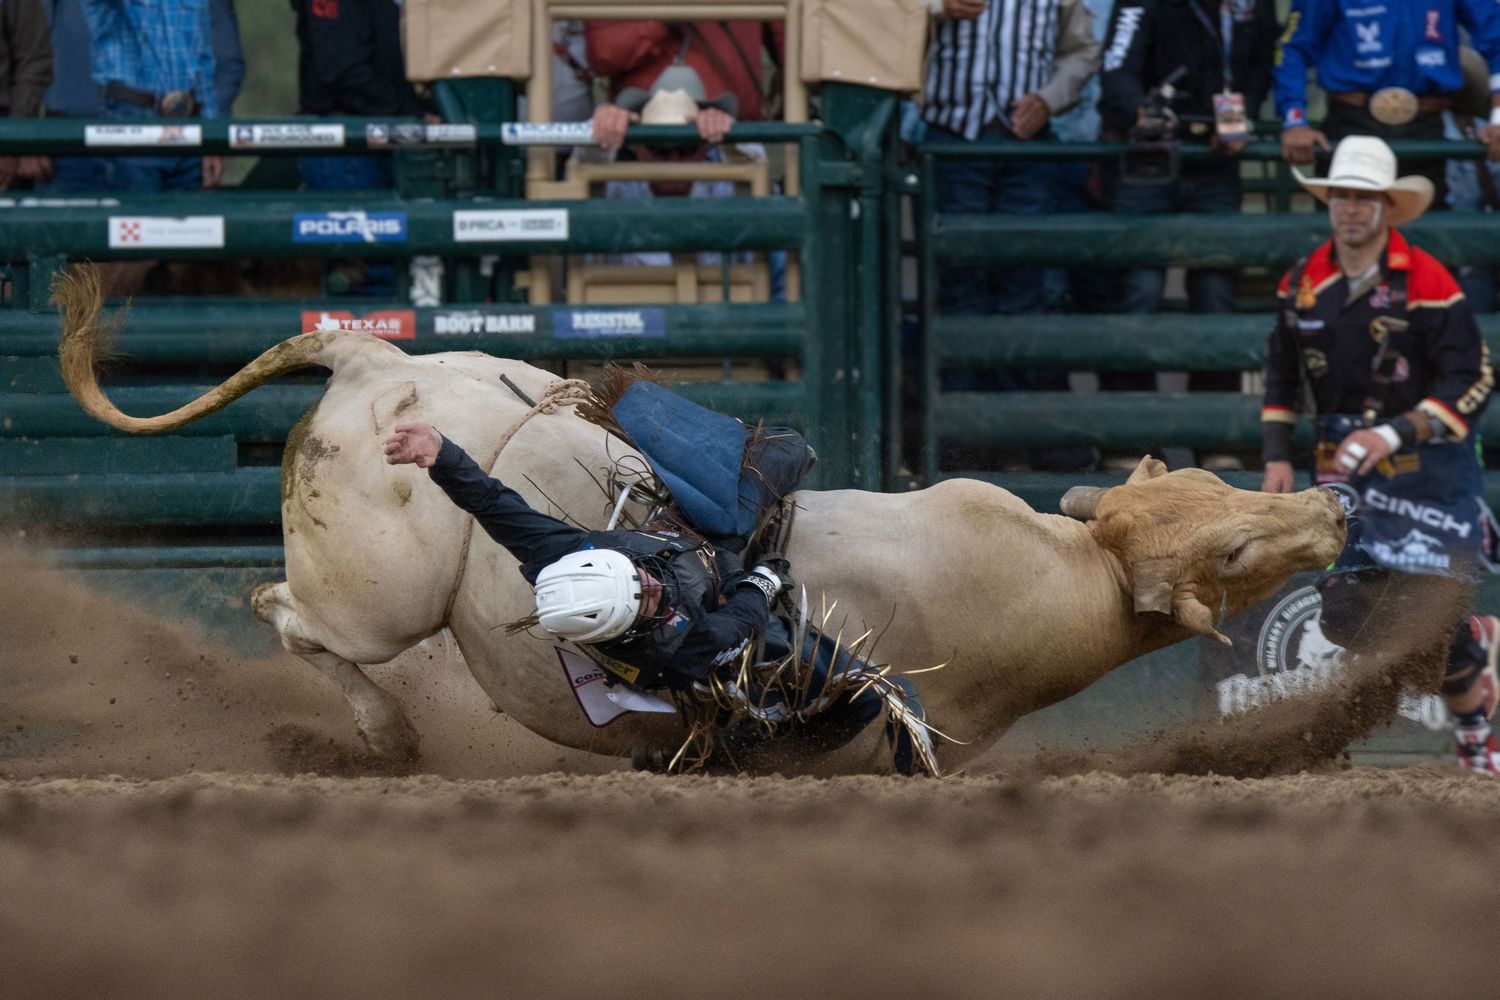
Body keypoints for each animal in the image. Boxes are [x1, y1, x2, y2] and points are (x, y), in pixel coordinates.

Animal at [55, 270, 1346, 775]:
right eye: (1234, 549)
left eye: (1216, 489)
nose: (1329, 503)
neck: (1072, 575)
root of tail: (373, 360)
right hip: (379, 594)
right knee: (285, 609)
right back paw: (378, 730)